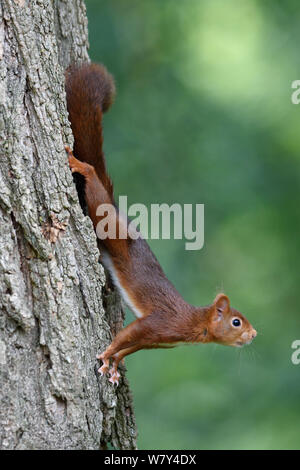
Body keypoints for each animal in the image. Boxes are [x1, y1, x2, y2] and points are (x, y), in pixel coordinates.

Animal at [64, 62, 256, 386]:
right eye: (236, 321)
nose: (254, 334)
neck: (193, 324)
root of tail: (118, 212)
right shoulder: (159, 323)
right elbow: (123, 337)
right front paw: (106, 356)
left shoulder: (154, 340)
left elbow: (128, 348)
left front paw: (113, 365)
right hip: (107, 221)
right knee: (94, 186)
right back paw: (80, 165)